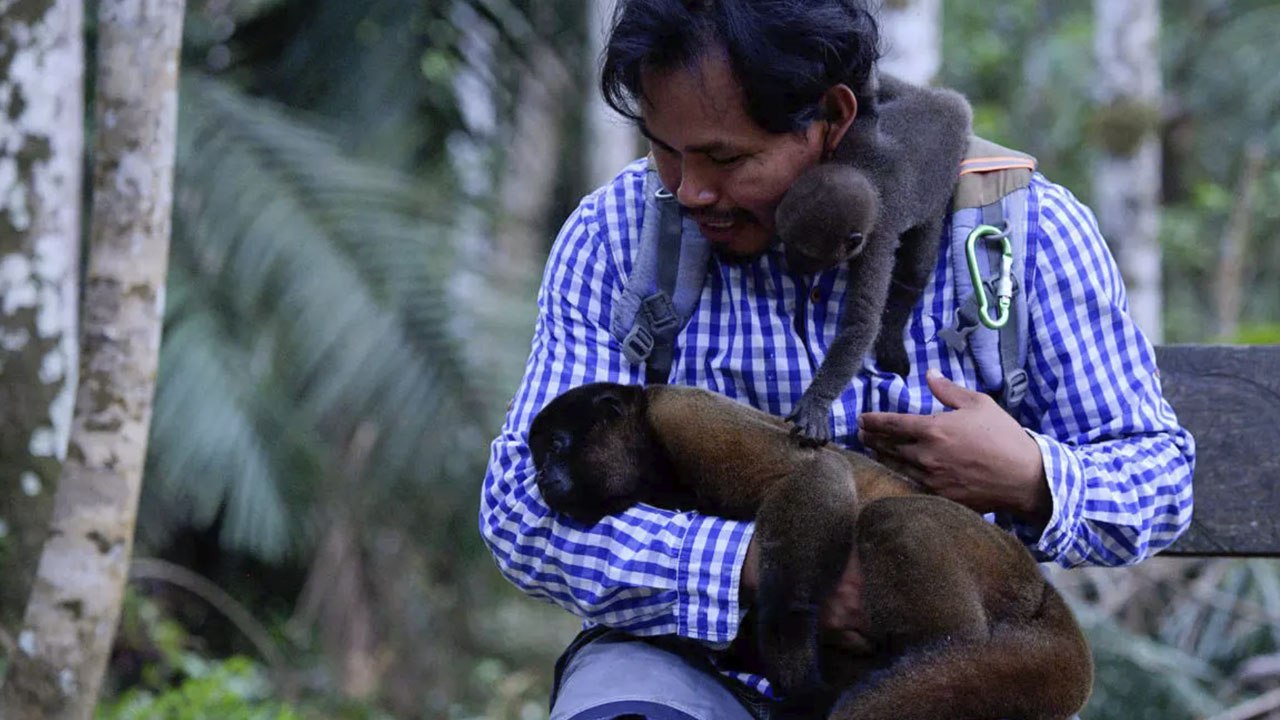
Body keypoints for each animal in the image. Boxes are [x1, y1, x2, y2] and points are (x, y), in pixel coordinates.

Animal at [529, 381, 1093, 719]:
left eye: (556, 447)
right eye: (536, 457)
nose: (539, 477)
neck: (649, 456)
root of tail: (1044, 594)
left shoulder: (683, 415)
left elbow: (810, 472)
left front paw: (793, 664)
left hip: (996, 568)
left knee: (894, 518)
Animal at [777, 74, 974, 446]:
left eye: (805, 253)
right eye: (783, 240)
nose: (789, 264)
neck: (868, 176)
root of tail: (954, 108)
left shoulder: (877, 241)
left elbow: (862, 322)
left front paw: (816, 401)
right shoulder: (854, 140)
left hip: (939, 196)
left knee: (915, 269)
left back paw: (892, 338)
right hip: (918, 97)